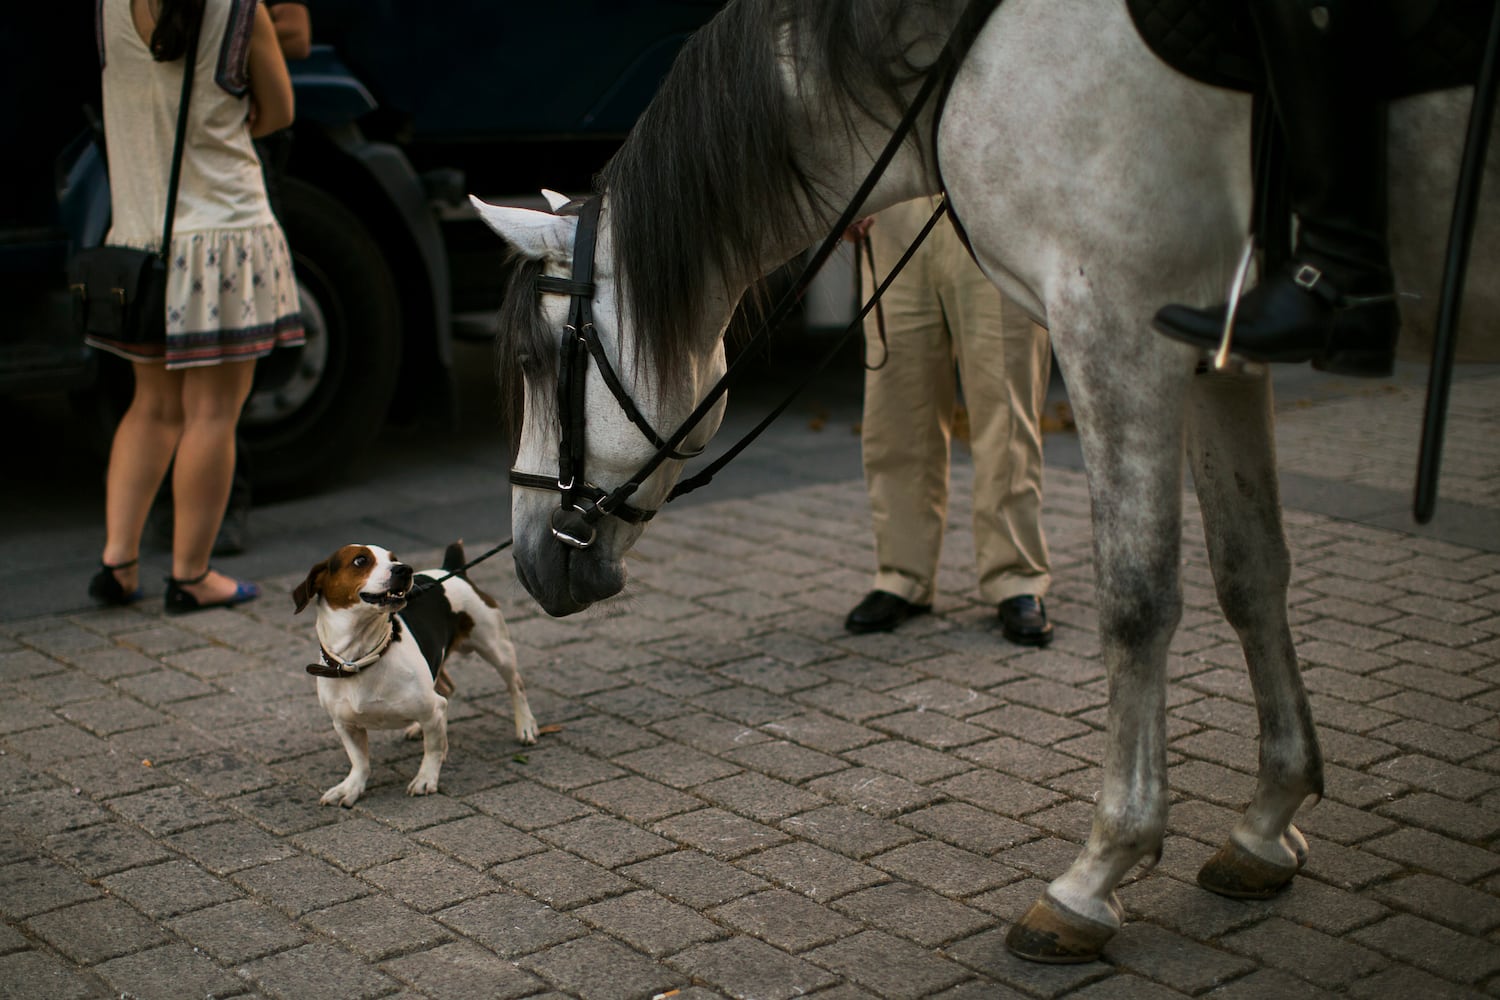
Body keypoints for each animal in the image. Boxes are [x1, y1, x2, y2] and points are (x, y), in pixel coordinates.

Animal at [289, 539, 537, 803]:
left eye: (393, 557)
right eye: (360, 560)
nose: (404, 569)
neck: (360, 658)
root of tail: (452, 568)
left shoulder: (432, 708)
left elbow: (433, 749)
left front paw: (426, 778)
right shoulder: (345, 725)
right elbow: (359, 761)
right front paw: (351, 787)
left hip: (496, 647)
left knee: (516, 686)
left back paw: (525, 726)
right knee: (446, 689)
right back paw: (422, 728)